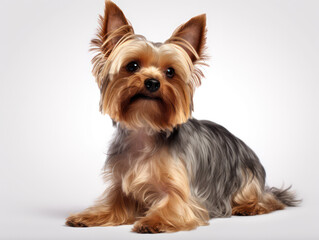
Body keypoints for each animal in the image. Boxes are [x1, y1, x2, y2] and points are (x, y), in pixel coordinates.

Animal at [65, 0, 300, 232]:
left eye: (170, 72)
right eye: (132, 66)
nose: (152, 82)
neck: (146, 127)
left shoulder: (185, 193)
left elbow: (174, 204)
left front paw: (152, 221)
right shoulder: (122, 184)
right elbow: (113, 205)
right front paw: (87, 216)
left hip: (246, 180)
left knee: (269, 200)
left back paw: (249, 207)